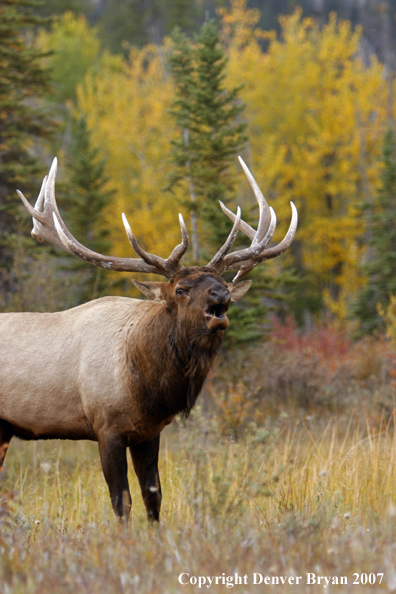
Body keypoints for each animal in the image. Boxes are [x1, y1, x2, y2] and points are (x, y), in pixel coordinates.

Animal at [0, 156, 296, 520]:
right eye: (181, 289)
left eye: (221, 281)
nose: (222, 295)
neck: (149, 385)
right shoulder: (106, 427)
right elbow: (121, 501)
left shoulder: (148, 432)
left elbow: (153, 497)